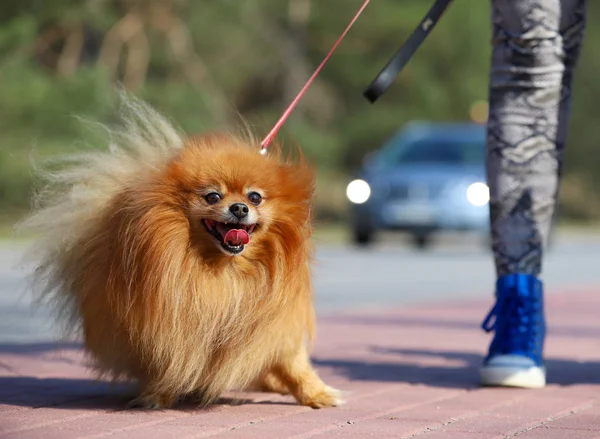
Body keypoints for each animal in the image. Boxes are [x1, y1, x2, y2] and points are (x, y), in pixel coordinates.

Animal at [21, 94, 342, 410]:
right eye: (213, 196)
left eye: (255, 197)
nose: (239, 208)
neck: (224, 270)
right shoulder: (162, 320)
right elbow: (164, 360)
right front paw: (157, 396)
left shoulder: (273, 325)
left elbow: (294, 363)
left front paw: (317, 394)